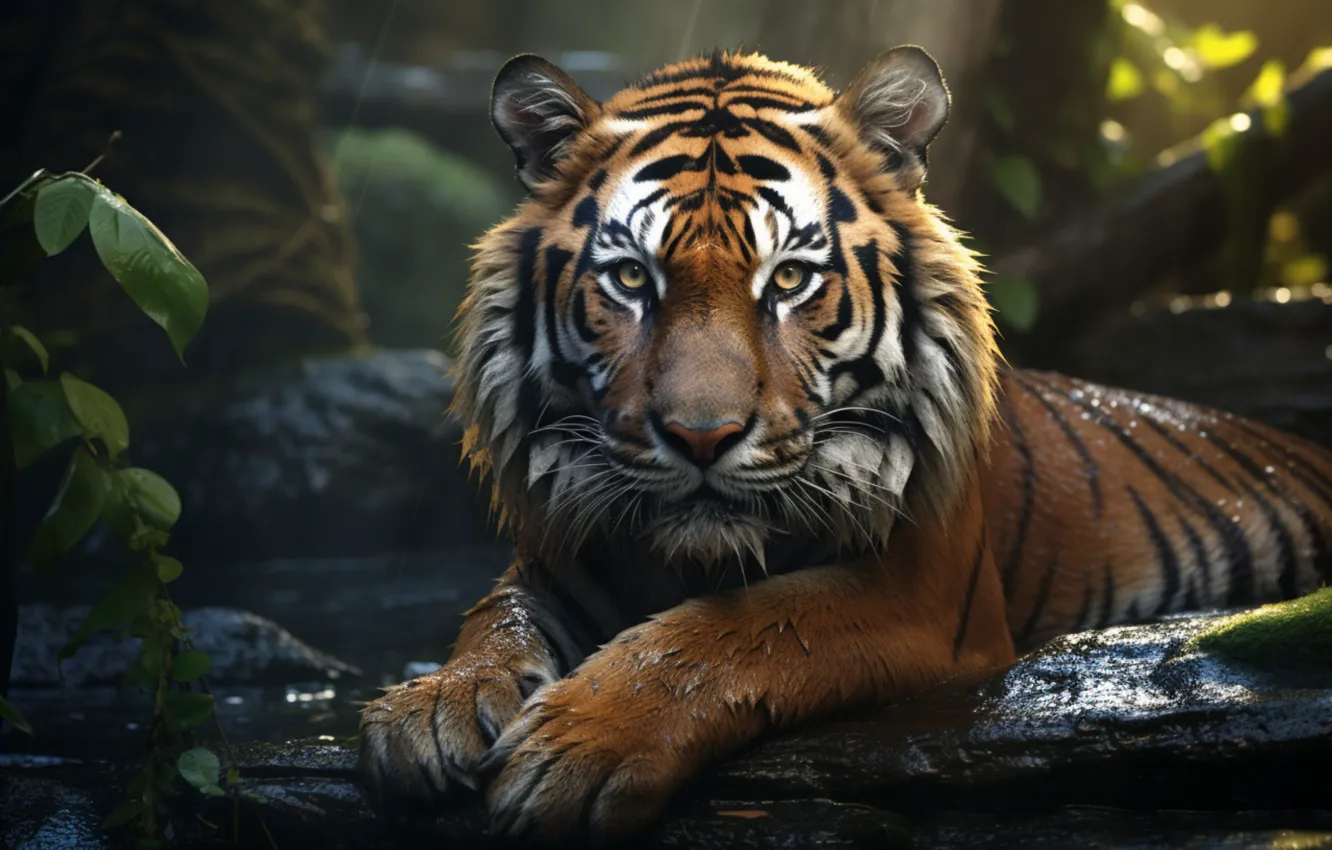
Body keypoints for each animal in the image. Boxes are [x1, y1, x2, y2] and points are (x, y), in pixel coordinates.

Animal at [357, 46, 1332, 845]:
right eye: (632, 278)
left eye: (789, 278)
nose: (701, 437)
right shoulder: (560, 553)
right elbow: (494, 617)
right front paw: (431, 709)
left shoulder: (926, 593)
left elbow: (735, 630)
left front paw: (575, 747)